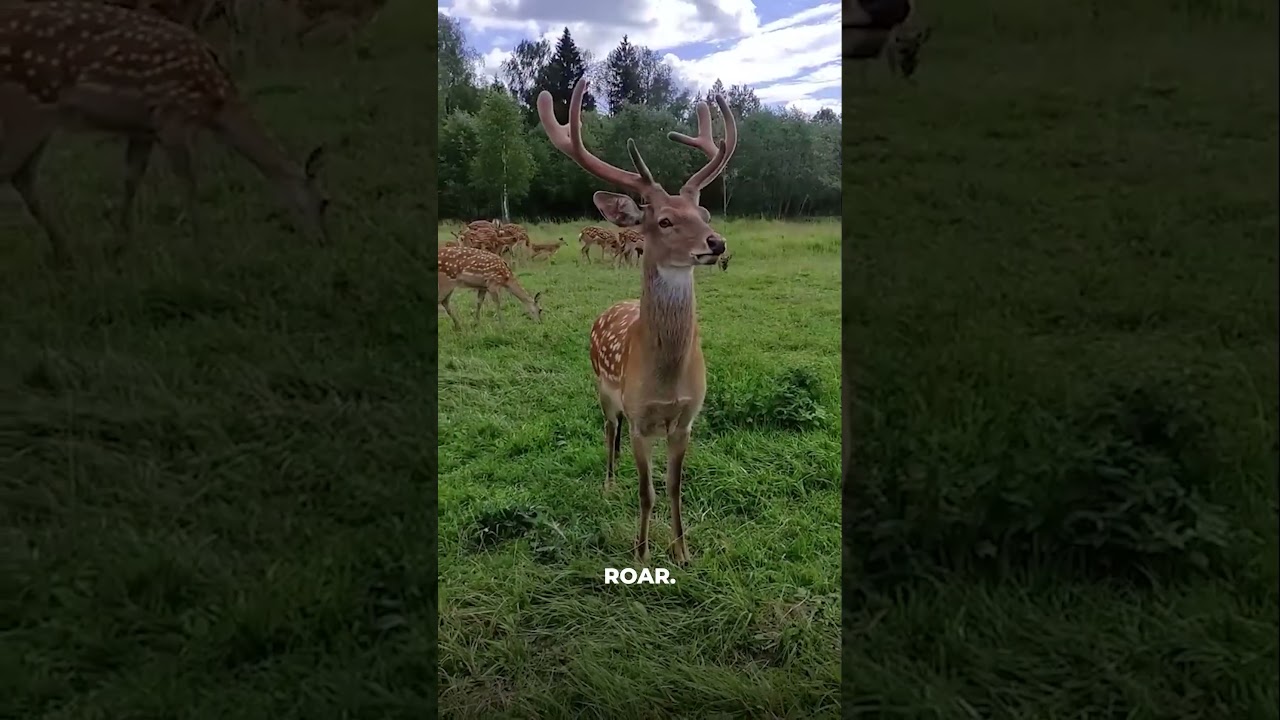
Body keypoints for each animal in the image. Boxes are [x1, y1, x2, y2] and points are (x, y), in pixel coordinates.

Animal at [0, 1, 329, 267]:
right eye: (325, 202)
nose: (324, 241)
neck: (216, 106)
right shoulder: (172, 117)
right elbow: (188, 181)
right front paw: (203, 245)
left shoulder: (145, 127)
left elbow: (131, 177)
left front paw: (120, 243)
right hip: (28, 111)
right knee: (12, 173)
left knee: (22, 177)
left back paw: (66, 252)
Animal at [537, 77, 735, 564]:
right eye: (663, 220)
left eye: (702, 214)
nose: (716, 242)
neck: (665, 379)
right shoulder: (641, 419)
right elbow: (647, 492)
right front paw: (642, 553)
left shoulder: (685, 419)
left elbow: (674, 488)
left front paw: (681, 552)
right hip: (602, 389)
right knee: (609, 431)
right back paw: (609, 484)